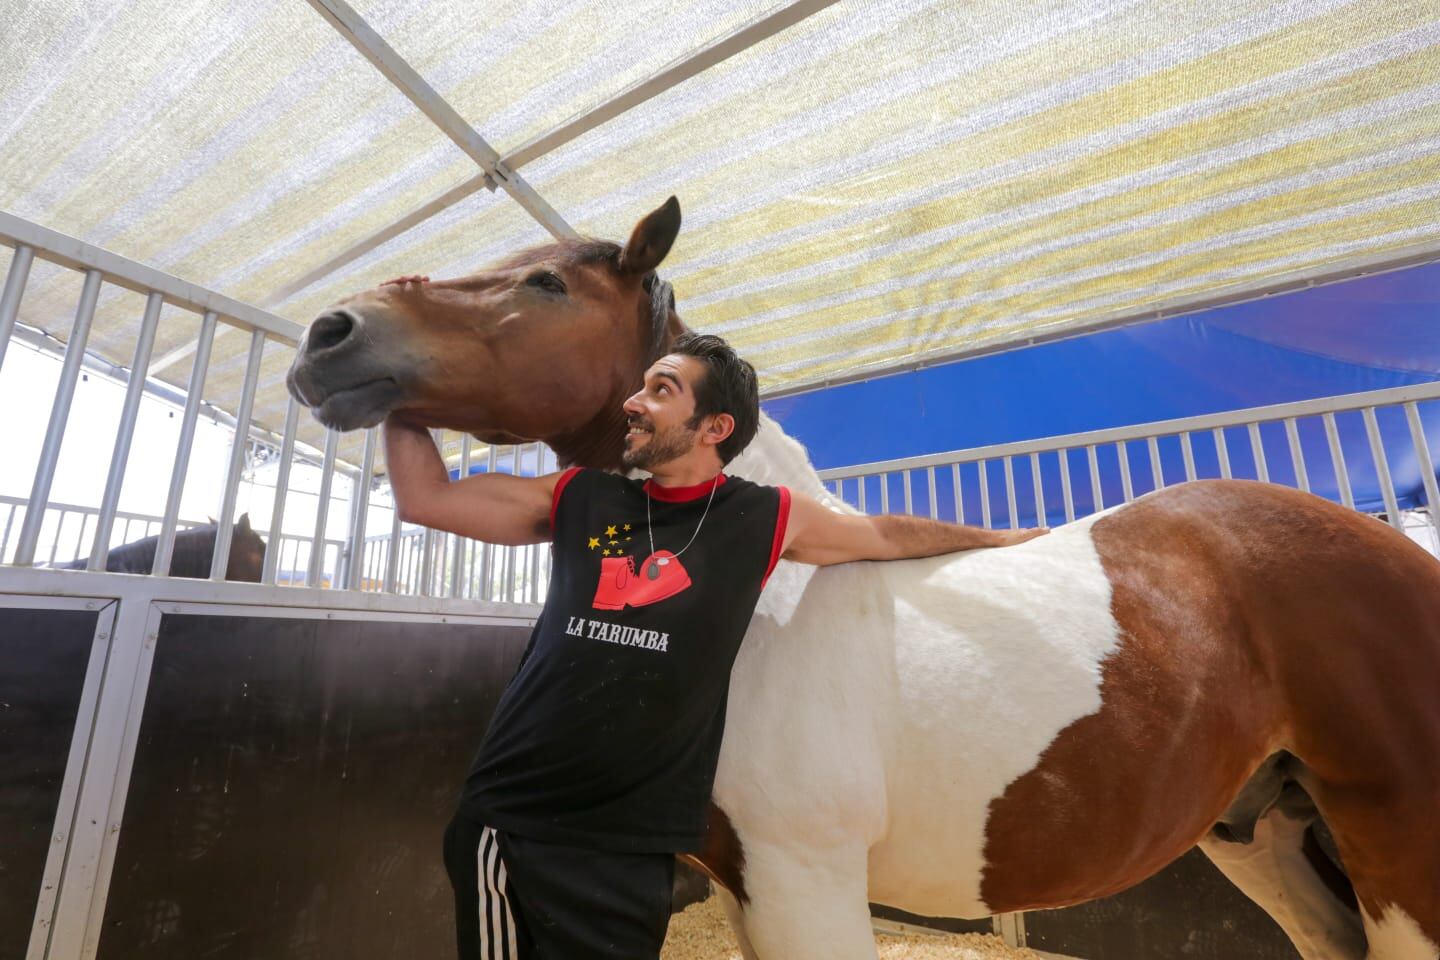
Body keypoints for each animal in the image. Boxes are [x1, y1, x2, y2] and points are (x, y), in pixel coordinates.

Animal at [286, 198, 1440, 959]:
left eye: (546, 281)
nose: (329, 334)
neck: (771, 605)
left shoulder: (808, 882)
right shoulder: (754, 889)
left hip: (1399, 854)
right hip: (1267, 837)